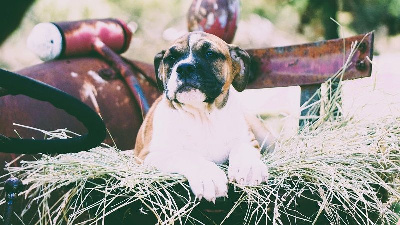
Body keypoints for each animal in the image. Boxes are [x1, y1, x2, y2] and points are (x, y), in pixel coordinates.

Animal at [134, 31, 272, 202]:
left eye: (209, 54)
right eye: (171, 58)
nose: (184, 68)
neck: (203, 115)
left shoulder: (248, 141)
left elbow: (242, 149)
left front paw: (249, 167)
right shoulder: (149, 155)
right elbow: (186, 155)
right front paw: (208, 176)